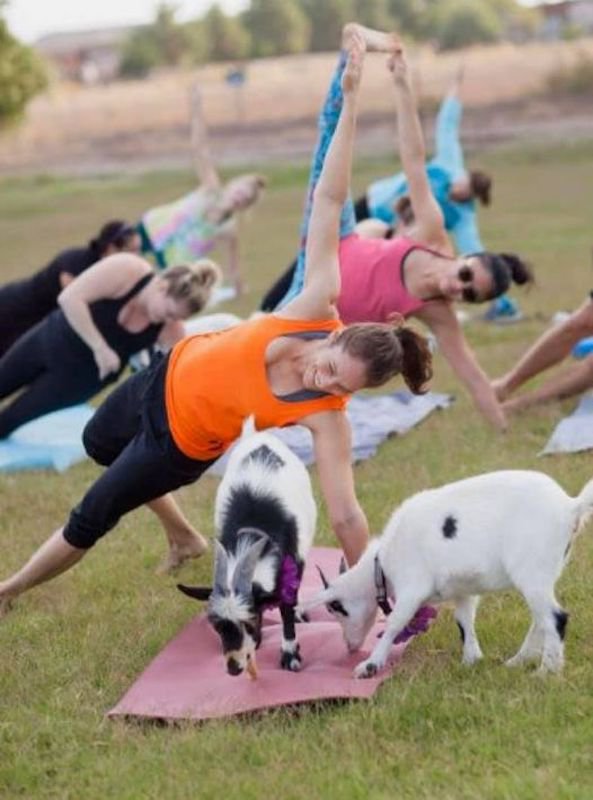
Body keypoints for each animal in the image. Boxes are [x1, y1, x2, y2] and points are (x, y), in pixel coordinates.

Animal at [177, 424, 316, 676]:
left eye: (250, 622)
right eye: (217, 627)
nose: (234, 668)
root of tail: (257, 437)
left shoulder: (294, 562)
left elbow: (287, 608)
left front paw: (290, 654)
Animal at [300, 472, 592, 680]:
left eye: (337, 609)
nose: (350, 647)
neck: (381, 563)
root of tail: (570, 507)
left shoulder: (412, 587)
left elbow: (395, 623)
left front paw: (370, 665)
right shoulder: (464, 591)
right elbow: (464, 621)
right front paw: (471, 660)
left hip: (530, 571)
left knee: (555, 618)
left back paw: (546, 672)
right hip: (540, 575)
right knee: (540, 619)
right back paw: (518, 661)